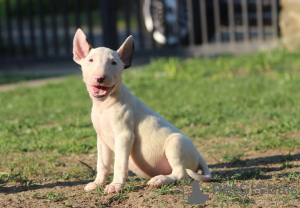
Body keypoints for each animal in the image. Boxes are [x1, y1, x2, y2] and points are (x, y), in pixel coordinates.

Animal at [72, 28, 211, 193]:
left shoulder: (124, 136)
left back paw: (159, 180)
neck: (105, 105)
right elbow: (103, 164)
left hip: (176, 143)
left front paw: (115, 185)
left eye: (114, 63)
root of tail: (198, 155)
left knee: (181, 174)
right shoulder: (102, 139)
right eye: (90, 60)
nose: (100, 78)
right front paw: (97, 183)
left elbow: (119, 164)